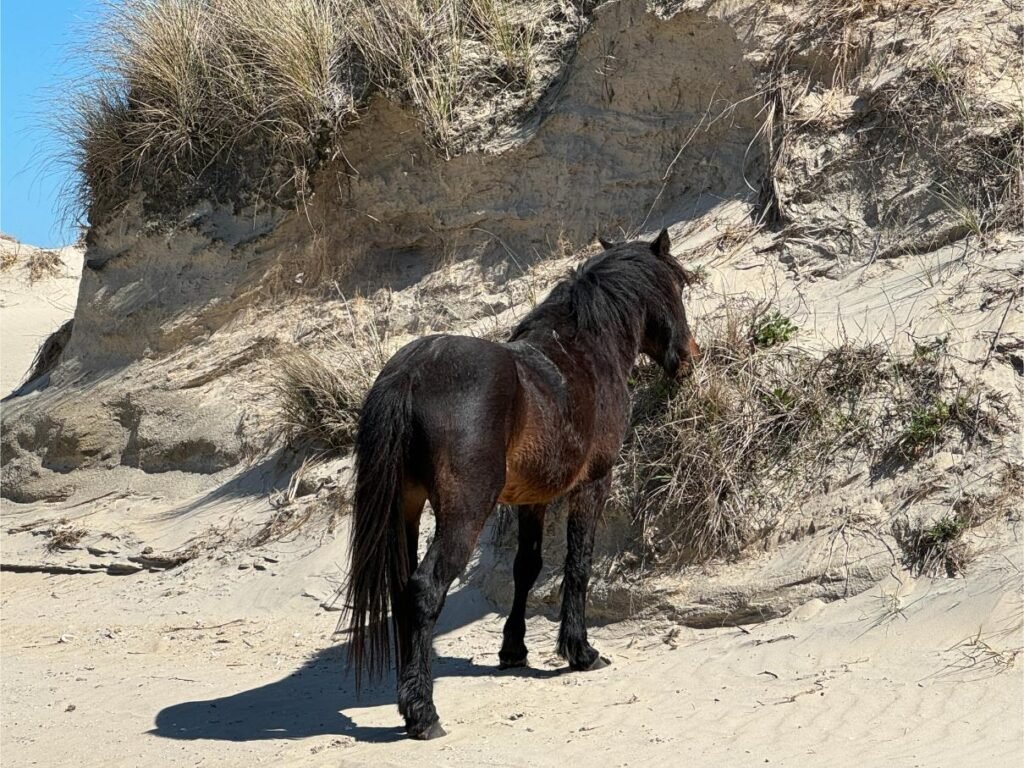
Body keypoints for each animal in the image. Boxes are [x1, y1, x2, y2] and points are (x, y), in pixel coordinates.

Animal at [342, 228, 696, 741]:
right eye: (679, 286)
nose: (687, 357)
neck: (585, 352)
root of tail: (411, 370)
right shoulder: (593, 482)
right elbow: (578, 562)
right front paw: (580, 651)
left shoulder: (532, 498)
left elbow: (526, 567)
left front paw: (513, 650)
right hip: (463, 512)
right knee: (425, 589)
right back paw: (423, 713)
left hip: (405, 508)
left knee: (402, 591)